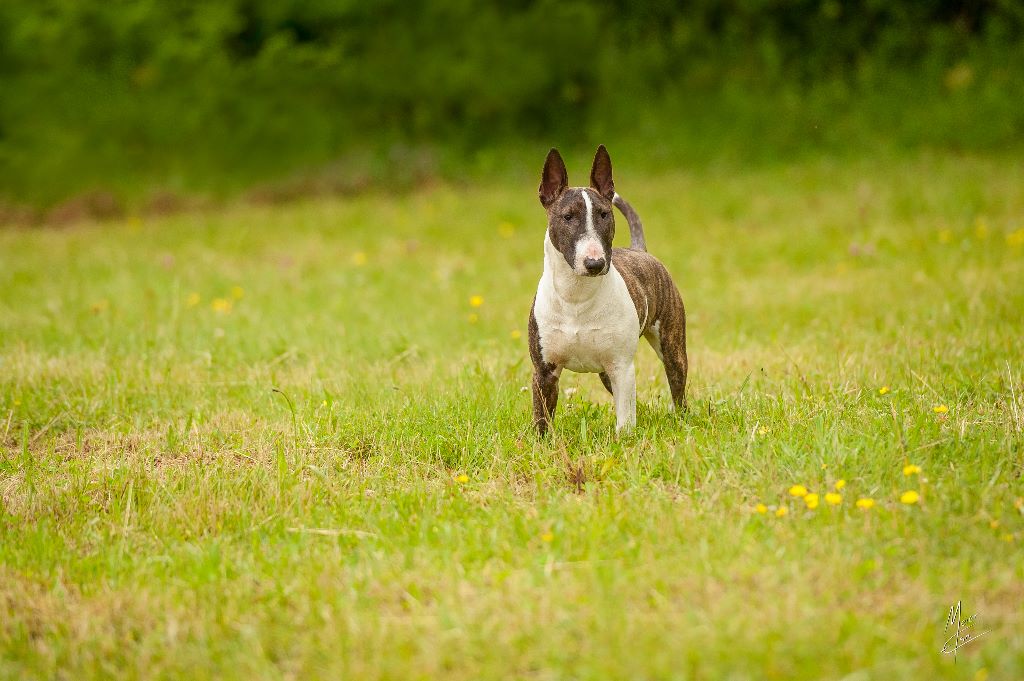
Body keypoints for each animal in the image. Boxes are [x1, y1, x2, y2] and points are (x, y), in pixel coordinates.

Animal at [528, 145, 688, 432]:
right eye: (567, 216)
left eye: (604, 214)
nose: (595, 263)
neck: (576, 296)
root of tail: (639, 250)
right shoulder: (544, 370)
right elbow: (542, 418)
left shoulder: (622, 367)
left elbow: (625, 421)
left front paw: (624, 439)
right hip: (604, 372)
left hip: (671, 345)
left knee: (677, 386)